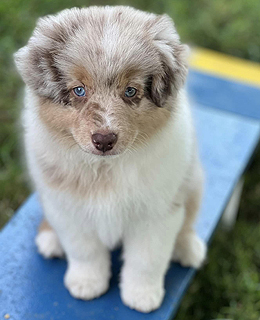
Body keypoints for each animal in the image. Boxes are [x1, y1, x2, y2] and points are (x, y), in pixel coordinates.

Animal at [14, 6, 207, 312]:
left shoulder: (157, 212)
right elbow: (85, 251)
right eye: (79, 90)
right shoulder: (69, 208)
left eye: (130, 91)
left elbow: (147, 259)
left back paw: (188, 248)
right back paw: (50, 238)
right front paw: (86, 284)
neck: (105, 167)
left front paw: (142, 296)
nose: (104, 140)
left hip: (194, 182)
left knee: (188, 220)